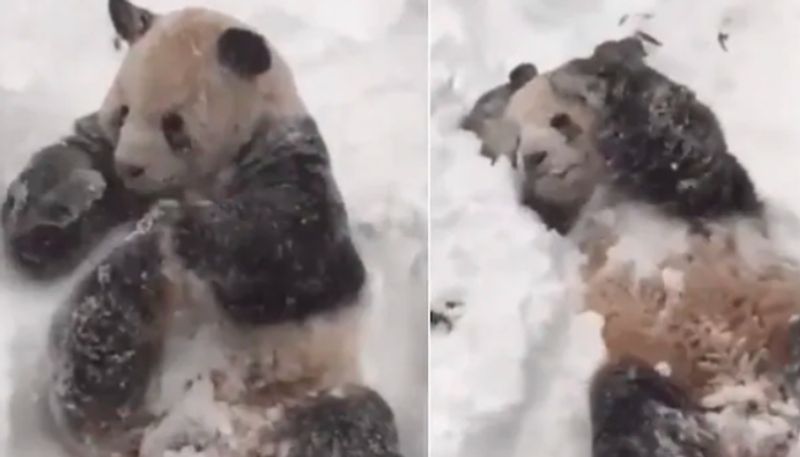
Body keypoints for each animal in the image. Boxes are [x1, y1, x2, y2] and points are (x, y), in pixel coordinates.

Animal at [0, 0, 400, 456]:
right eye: (123, 114)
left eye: (173, 124)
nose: (130, 166)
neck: (196, 181)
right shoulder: (111, 160)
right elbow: (78, 157)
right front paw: (50, 221)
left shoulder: (290, 158)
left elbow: (299, 250)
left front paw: (188, 227)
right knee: (99, 329)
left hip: (305, 393)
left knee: (353, 421)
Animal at [466, 37, 800, 454]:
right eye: (515, 145)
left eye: (560, 121)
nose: (534, 158)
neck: (602, 190)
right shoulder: (561, 222)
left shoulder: (708, 195)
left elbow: (686, 146)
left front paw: (599, 70)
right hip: (656, 369)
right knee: (629, 401)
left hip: (780, 311)